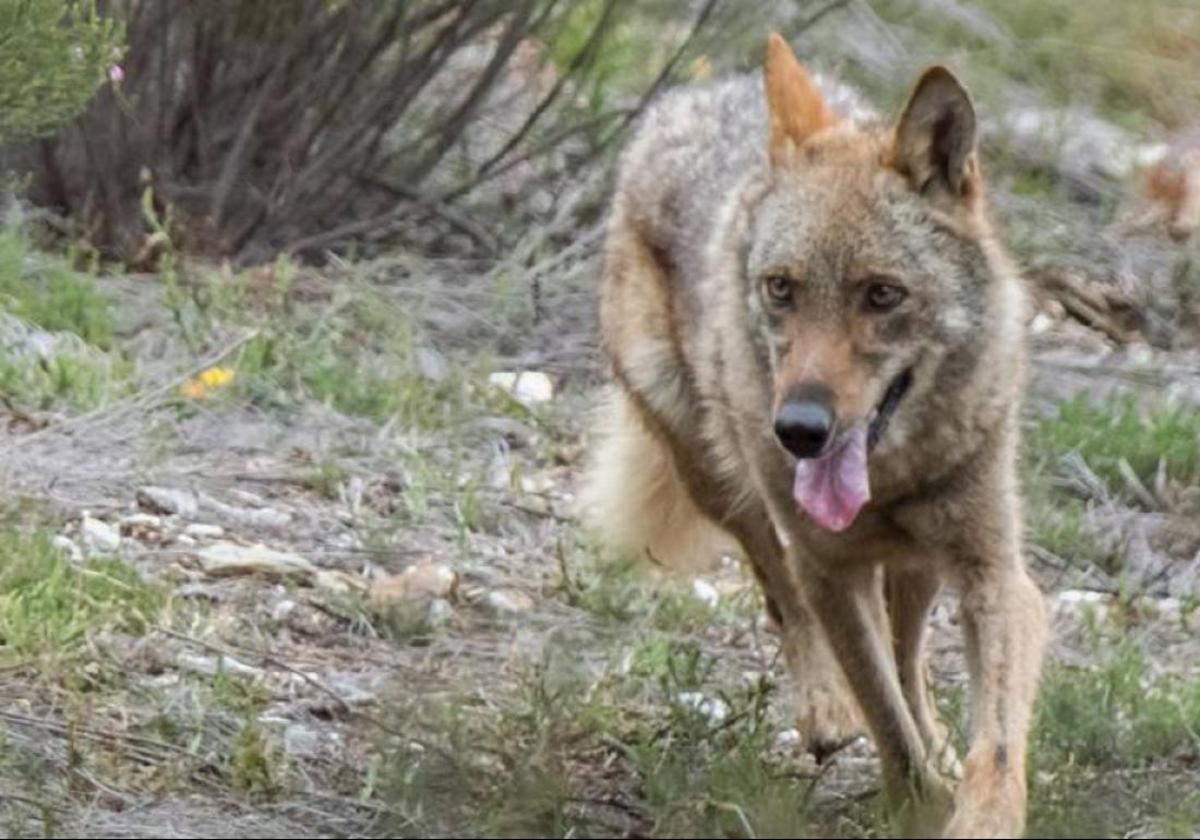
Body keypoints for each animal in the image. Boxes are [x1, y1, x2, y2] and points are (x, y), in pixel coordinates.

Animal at [583, 31, 1051, 835]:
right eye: (782, 288)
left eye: (882, 294)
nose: (799, 430)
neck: (891, 479)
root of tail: (700, 94)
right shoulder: (830, 568)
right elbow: (885, 720)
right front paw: (916, 800)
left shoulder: (995, 574)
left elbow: (989, 747)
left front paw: (971, 806)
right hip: (719, 479)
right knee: (784, 593)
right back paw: (828, 712)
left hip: (920, 566)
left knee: (909, 655)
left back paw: (936, 740)